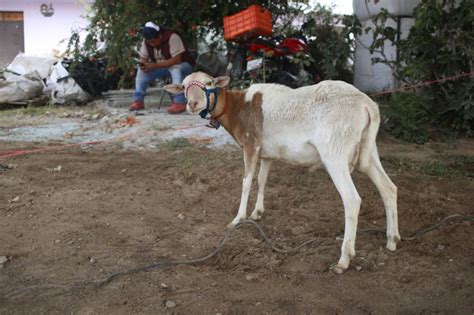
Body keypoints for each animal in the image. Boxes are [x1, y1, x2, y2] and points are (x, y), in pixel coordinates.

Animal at [165, 71, 402, 274]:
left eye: (208, 83)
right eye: (184, 87)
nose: (192, 104)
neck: (237, 107)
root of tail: (367, 105)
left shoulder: (250, 145)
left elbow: (246, 181)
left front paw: (238, 218)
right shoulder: (267, 154)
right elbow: (262, 180)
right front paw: (257, 212)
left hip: (335, 152)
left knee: (352, 200)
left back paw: (344, 260)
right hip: (369, 151)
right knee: (388, 188)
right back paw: (392, 240)